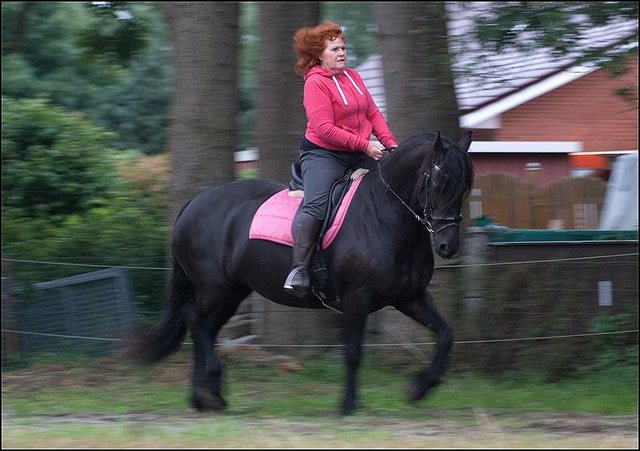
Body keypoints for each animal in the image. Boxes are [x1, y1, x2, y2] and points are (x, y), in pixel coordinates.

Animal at [126, 131, 476, 416]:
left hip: (232, 293)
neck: (383, 214)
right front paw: (349, 405)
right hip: (216, 289)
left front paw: (420, 387)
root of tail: (194, 204)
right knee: (194, 320)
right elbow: (353, 353)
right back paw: (211, 390)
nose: (447, 246)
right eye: (438, 182)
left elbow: (445, 334)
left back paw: (205, 398)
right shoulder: (357, 299)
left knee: (206, 329)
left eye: (464, 188)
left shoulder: (410, 297)